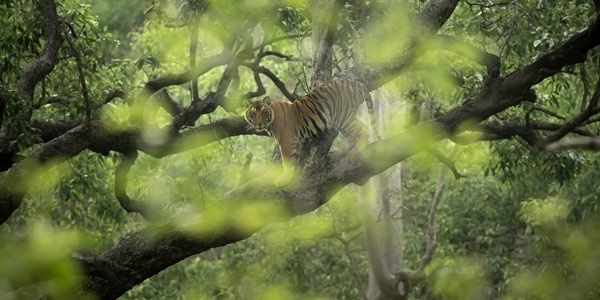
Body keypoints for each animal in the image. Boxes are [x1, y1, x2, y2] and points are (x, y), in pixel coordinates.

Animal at [244, 78, 376, 176]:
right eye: (253, 113)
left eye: (264, 112)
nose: (259, 123)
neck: (270, 123)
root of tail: (356, 83)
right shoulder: (295, 141)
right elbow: (294, 159)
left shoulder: (285, 141)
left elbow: (286, 161)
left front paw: (285, 179)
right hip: (343, 120)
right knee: (352, 138)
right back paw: (339, 153)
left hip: (343, 118)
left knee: (362, 132)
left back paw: (356, 152)